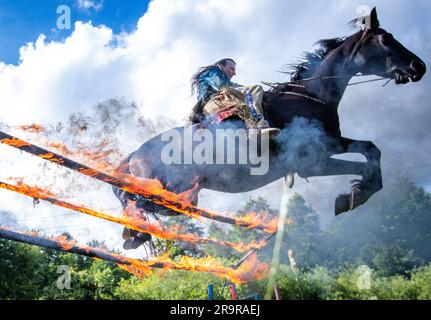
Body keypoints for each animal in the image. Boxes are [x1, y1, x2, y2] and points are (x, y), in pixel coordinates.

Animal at [113, 6, 426, 248]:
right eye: (385, 39)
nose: (418, 66)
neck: (310, 95)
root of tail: (134, 155)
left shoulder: (328, 146)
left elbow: (371, 150)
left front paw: (355, 194)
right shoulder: (313, 161)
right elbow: (366, 161)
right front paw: (352, 196)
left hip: (184, 194)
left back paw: (134, 234)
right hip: (176, 190)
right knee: (139, 202)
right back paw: (135, 232)